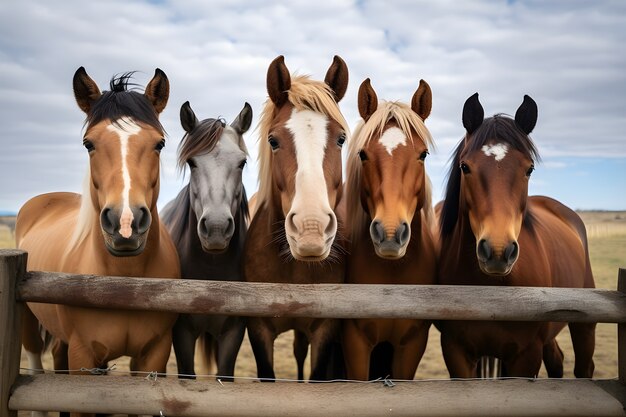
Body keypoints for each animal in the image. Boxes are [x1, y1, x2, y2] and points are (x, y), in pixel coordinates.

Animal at [15, 66, 180, 414]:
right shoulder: (84, 357)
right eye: (88, 143)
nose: (126, 223)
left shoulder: (153, 355)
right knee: (35, 370)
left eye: (159, 144)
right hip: (28, 322)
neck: (126, 283)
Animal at [434, 93, 596, 376]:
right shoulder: (456, 351)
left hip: (584, 326)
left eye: (529, 169)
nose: (498, 251)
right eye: (465, 167)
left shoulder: (526, 355)